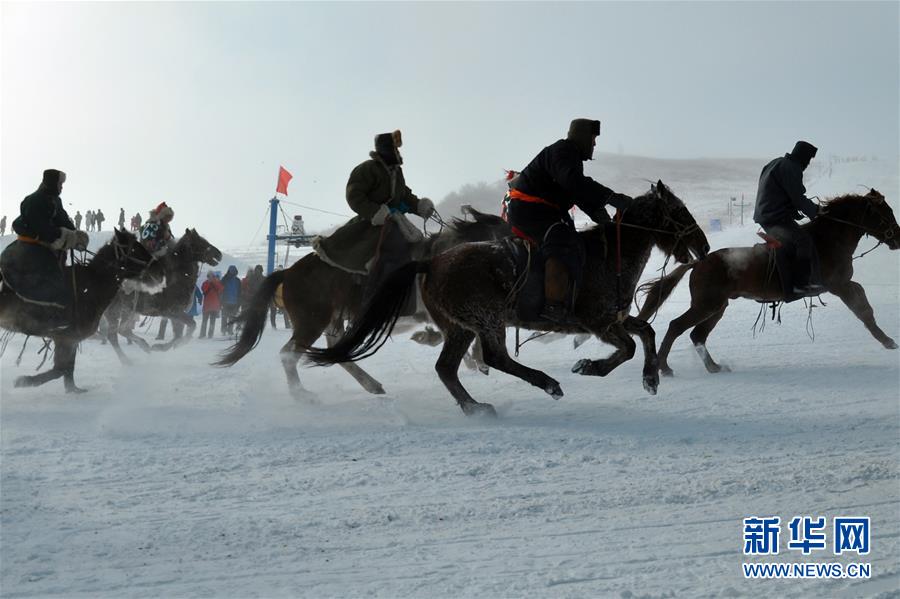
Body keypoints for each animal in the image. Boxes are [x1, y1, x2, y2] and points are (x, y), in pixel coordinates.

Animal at [1, 230, 162, 394]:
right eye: (134, 248)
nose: (159, 268)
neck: (91, 286)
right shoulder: (64, 338)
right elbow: (60, 369)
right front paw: (24, 381)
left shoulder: (72, 339)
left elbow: (67, 368)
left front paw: (73, 389)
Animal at [103, 229, 223, 360]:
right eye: (199, 242)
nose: (218, 254)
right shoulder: (172, 311)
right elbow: (191, 326)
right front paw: (160, 347)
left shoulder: (175, 314)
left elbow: (179, 334)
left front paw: (162, 346)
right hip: (120, 311)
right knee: (117, 332)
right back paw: (132, 356)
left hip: (125, 311)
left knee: (119, 332)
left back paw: (139, 350)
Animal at [214, 210, 512, 398]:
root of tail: (287, 273)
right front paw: (477, 359)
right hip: (313, 321)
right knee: (289, 354)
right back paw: (302, 395)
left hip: (331, 320)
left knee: (335, 350)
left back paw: (370, 384)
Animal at [308, 182, 712, 418]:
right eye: (678, 211)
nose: (704, 245)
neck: (609, 254)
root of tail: (431, 261)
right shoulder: (597, 321)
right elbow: (628, 346)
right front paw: (590, 367)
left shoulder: (614, 318)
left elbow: (646, 332)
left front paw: (651, 379)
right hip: (487, 321)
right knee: (494, 357)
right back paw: (547, 383)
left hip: (460, 328)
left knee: (447, 367)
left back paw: (474, 406)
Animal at [636, 189, 900, 376]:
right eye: (885, 213)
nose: (897, 238)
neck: (827, 239)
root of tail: (699, 262)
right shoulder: (838, 285)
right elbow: (862, 309)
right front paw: (887, 341)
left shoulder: (844, 284)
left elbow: (864, 303)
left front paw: (886, 340)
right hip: (706, 306)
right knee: (676, 327)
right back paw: (664, 367)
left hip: (717, 307)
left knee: (697, 335)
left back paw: (714, 367)